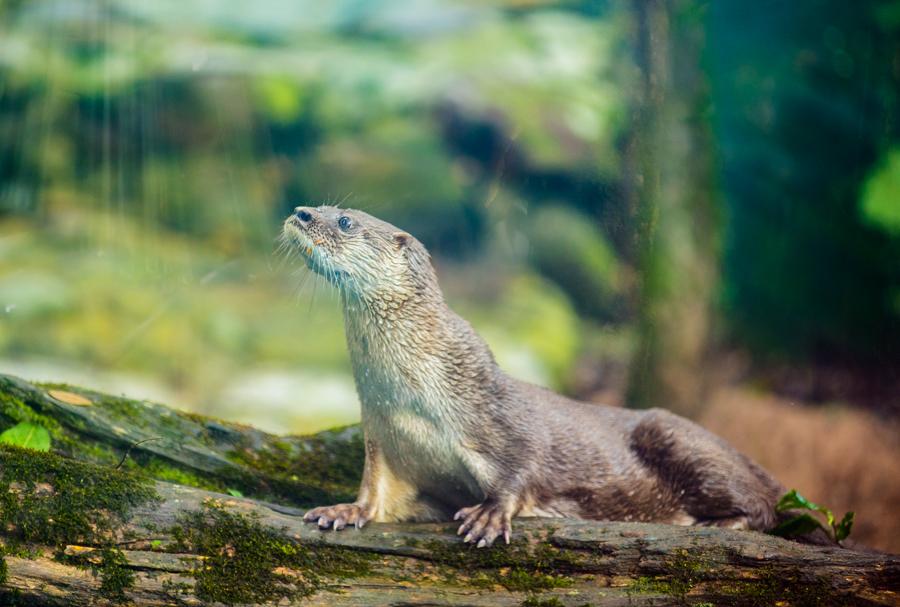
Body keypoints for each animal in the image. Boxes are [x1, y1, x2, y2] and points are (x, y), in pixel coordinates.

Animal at [284, 207, 784, 548]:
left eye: (345, 221)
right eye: (323, 208)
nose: (301, 212)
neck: (413, 395)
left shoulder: (500, 415)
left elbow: (523, 463)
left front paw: (488, 517)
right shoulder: (384, 439)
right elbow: (377, 494)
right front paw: (343, 510)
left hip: (682, 443)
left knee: (765, 508)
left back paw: (714, 522)